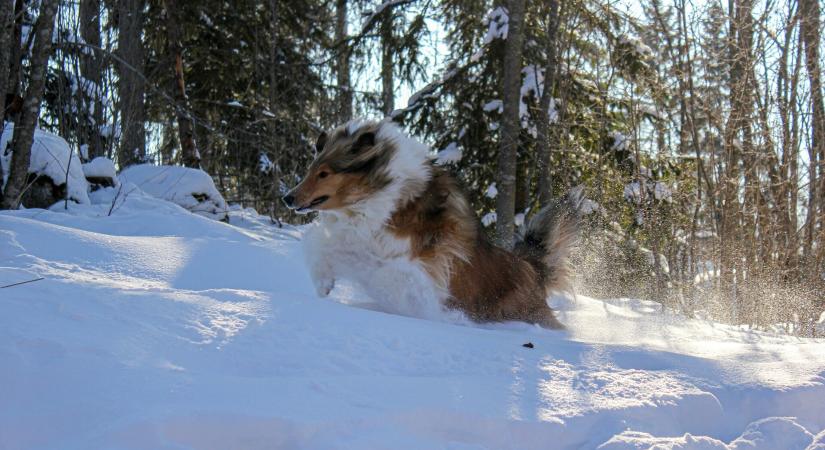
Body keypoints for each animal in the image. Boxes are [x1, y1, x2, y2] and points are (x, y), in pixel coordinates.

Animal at [284, 119, 580, 328]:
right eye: (311, 170)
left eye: (324, 173)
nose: (287, 198)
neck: (384, 191)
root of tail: (530, 267)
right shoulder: (361, 237)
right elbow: (325, 247)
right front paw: (324, 284)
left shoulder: (421, 262)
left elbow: (388, 275)